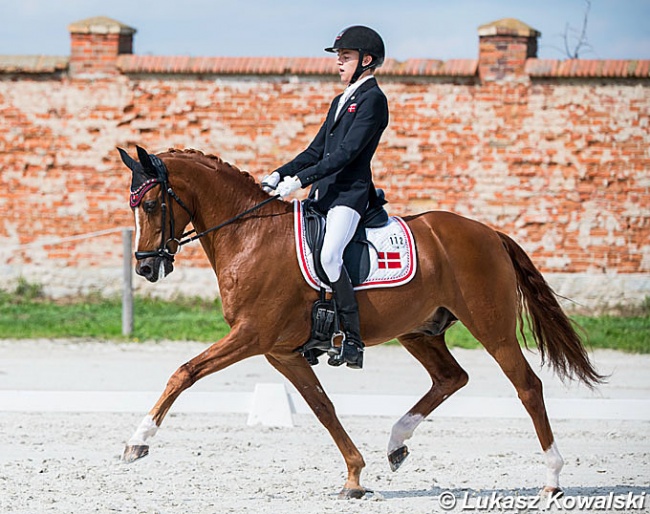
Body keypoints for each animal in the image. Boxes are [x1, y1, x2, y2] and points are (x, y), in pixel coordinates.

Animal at [117, 146, 604, 498]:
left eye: (154, 204)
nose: (145, 267)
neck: (250, 234)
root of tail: (489, 233)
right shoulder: (280, 351)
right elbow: (322, 407)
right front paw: (354, 477)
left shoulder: (253, 335)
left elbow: (185, 371)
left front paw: (138, 442)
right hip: (418, 330)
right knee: (451, 377)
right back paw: (396, 443)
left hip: (492, 327)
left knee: (527, 386)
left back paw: (553, 479)